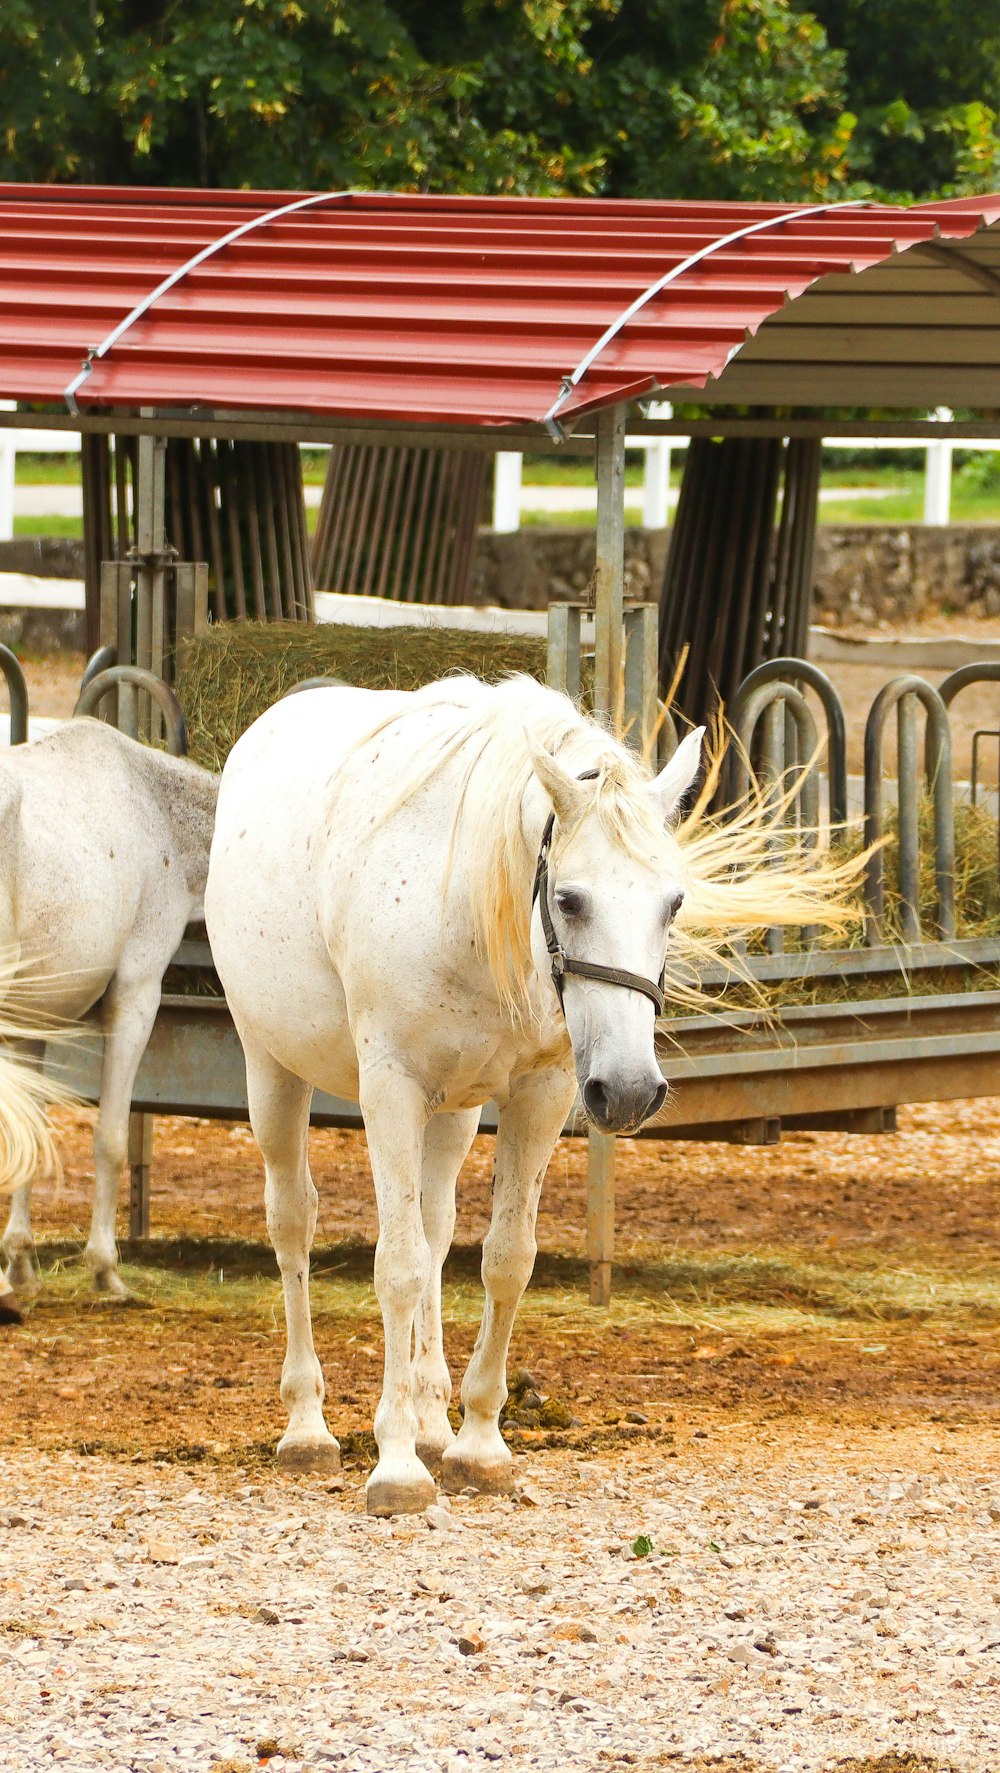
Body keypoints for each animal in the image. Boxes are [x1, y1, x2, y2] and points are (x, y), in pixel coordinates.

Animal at [0, 719, 218, 1319]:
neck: (158, 810)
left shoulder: (31, 1018)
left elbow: (30, 1134)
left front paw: (20, 1266)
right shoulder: (136, 996)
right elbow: (110, 1137)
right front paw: (106, 1270)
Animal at [207, 670, 854, 1517]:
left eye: (674, 901)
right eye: (571, 899)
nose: (632, 1088)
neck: (464, 910)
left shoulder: (540, 1092)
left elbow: (504, 1258)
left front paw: (477, 1442)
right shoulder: (390, 1090)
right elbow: (398, 1265)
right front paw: (397, 1465)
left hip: (452, 1112)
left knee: (438, 1227)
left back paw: (430, 1416)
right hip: (273, 1067)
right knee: (294, 1222)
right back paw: (308, 1426)